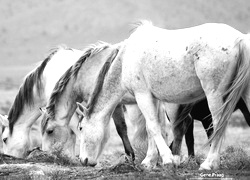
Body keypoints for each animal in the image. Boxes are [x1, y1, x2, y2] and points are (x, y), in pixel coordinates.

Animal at [75, 21, 250, 170]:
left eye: (81, 128)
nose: (83, 160)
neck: (126, 58)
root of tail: (240, 39)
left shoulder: (142, 95)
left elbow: (153, 126)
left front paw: (167, 159)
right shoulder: (153, 99)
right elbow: (152, 127)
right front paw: (149, 161)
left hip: (214, 94)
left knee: (218, 124)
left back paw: (209, 163)